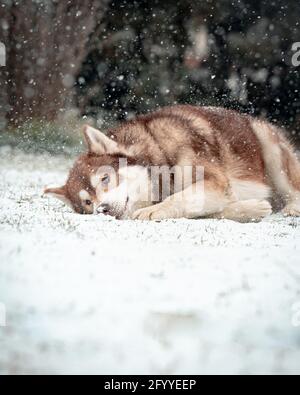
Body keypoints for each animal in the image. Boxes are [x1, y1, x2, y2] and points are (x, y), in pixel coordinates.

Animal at [44, 105, 300, 223]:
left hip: (269, 147)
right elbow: (210, 211)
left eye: (105, 178)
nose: (102, 209)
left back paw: (292, 207)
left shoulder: (214, 182)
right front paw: (252, 209)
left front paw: (152, 210)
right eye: (87, 203)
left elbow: (181, 198)